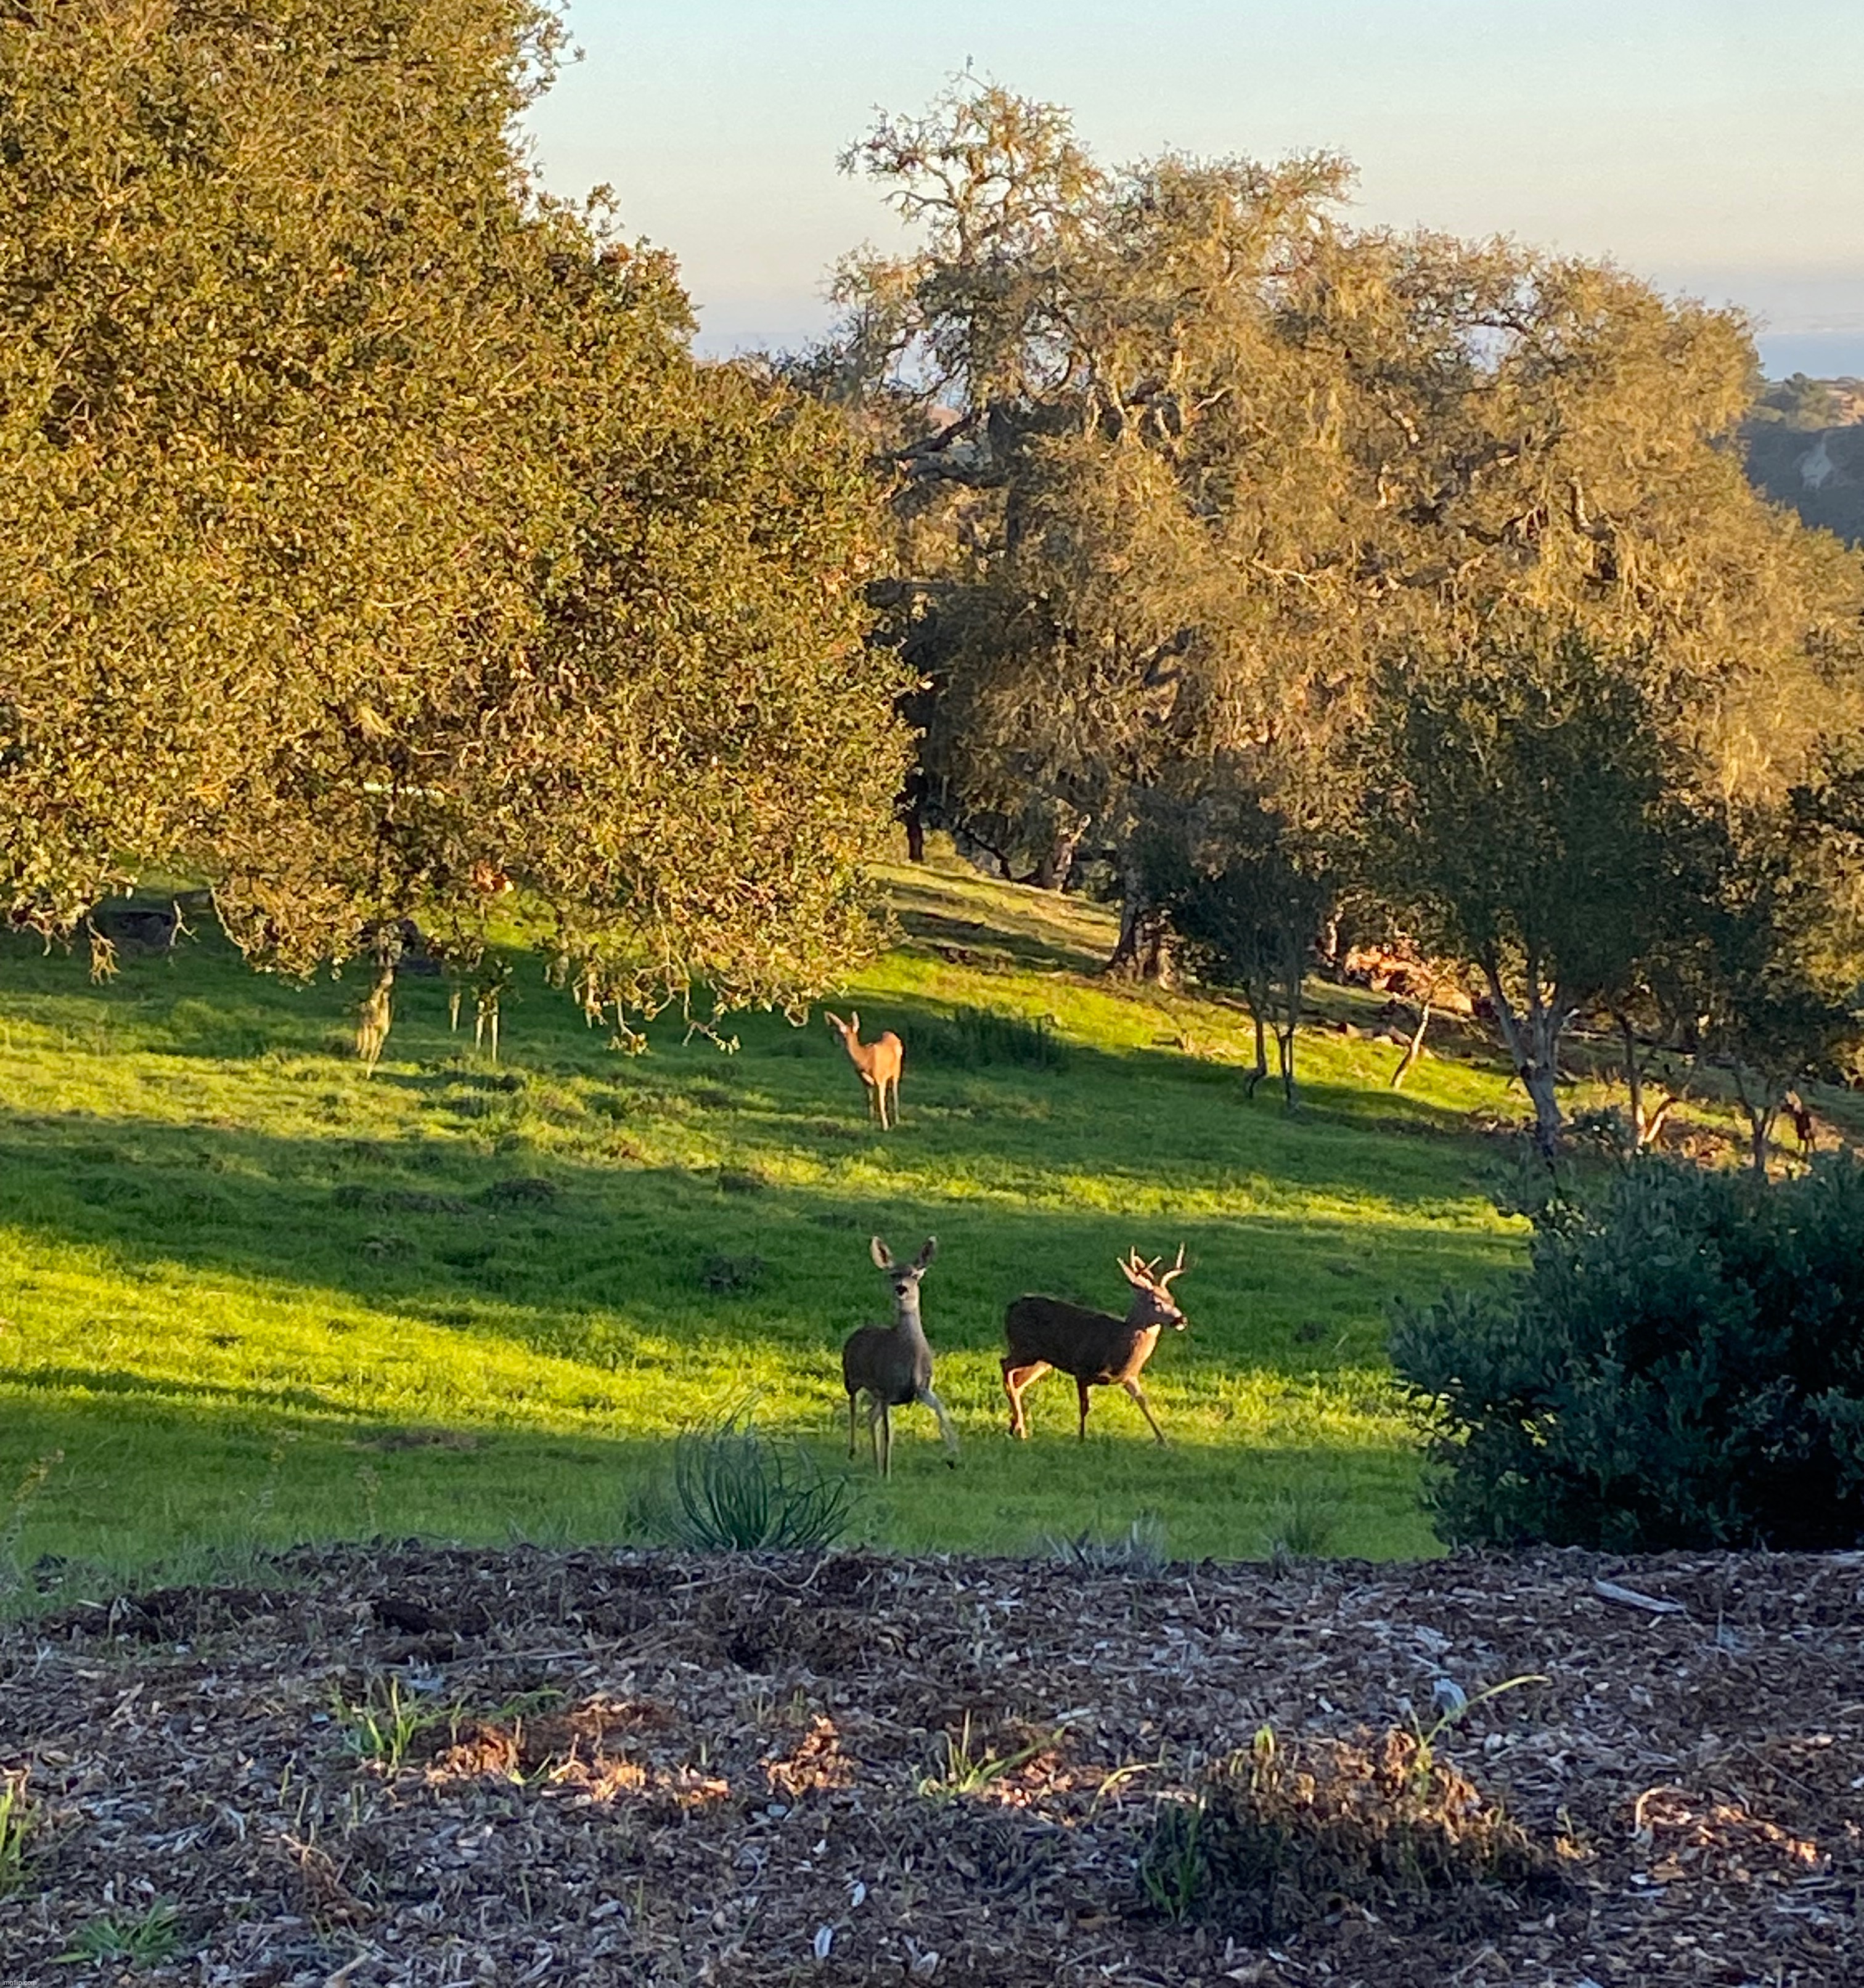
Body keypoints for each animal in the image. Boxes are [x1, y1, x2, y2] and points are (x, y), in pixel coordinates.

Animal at [824, 1009, 904, 1129]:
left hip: (896, 1071)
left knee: (895, 1092)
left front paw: (885, 1127)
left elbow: (880, 1103)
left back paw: (897, 1121)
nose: (831, 1039)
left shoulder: (880, 1079)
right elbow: (870, 1101)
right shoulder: (864, 1081)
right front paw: (871, 1124)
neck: (865, 1060)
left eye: (838, 1032)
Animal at [841, 1236, 958, 1477]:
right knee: (855, 1409)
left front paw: (953, 1452)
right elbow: (889, 1434)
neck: (909, 1357)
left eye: (914, 1275)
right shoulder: (887, 1388)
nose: (901, 1288)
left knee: (870, 1417)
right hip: (851, 1378)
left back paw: (875, 1464)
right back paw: (854, 1452)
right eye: (893, 1274)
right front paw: (887, 1473)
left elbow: (941, 1410)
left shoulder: (921, 1388)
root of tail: (856, 1333)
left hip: (875, 1393)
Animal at [1002, 1245, 1189, 1443]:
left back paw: (1016, 1428)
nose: (1181, 1320)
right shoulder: (1083, 1369)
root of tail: (1011, 1307)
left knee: (1017, 1382)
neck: (1116, 1345)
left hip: (1041, 1361)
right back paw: (1020, 1428)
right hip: (1025, 1348)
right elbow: (1085, 1407)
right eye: (1155, 1302)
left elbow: (1143, 1402)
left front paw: (1164, 1442)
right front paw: (1082, 1439)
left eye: (1172, 1300)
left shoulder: (1129, 1377)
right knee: (1006, 1366)